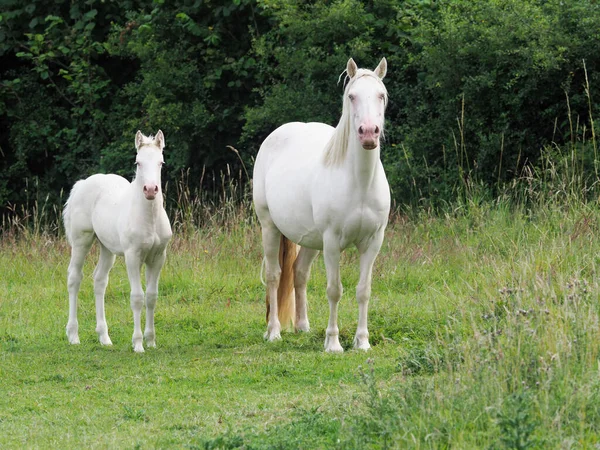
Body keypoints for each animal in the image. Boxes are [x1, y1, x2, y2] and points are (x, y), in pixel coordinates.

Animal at [62, 130, 172, 352]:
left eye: (161, 162)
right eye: (138, 162)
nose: (150, 190)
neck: (149, 218)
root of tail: (82, 184)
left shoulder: (158, 257)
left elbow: (152, 297)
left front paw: (151, 341)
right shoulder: (133, 256)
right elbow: (137, 297)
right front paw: (138, 344)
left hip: (106, 248)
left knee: (99, 280)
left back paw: (104, 337)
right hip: (81, 240)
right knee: (74, 278)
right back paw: (73, 335)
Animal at [252, 57, 390, 352]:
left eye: (381, 95)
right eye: (351, 96)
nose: (368, 133)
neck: (360, 183)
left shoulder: (373, 242)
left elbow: (364, 291)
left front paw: (362, 342)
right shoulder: (332, 242)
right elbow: (334, 290)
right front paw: (333, 343)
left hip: (310, 240)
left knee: (299, 273)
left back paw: (302, 327)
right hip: (270, 228)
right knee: (274, 275)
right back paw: (274, 332)